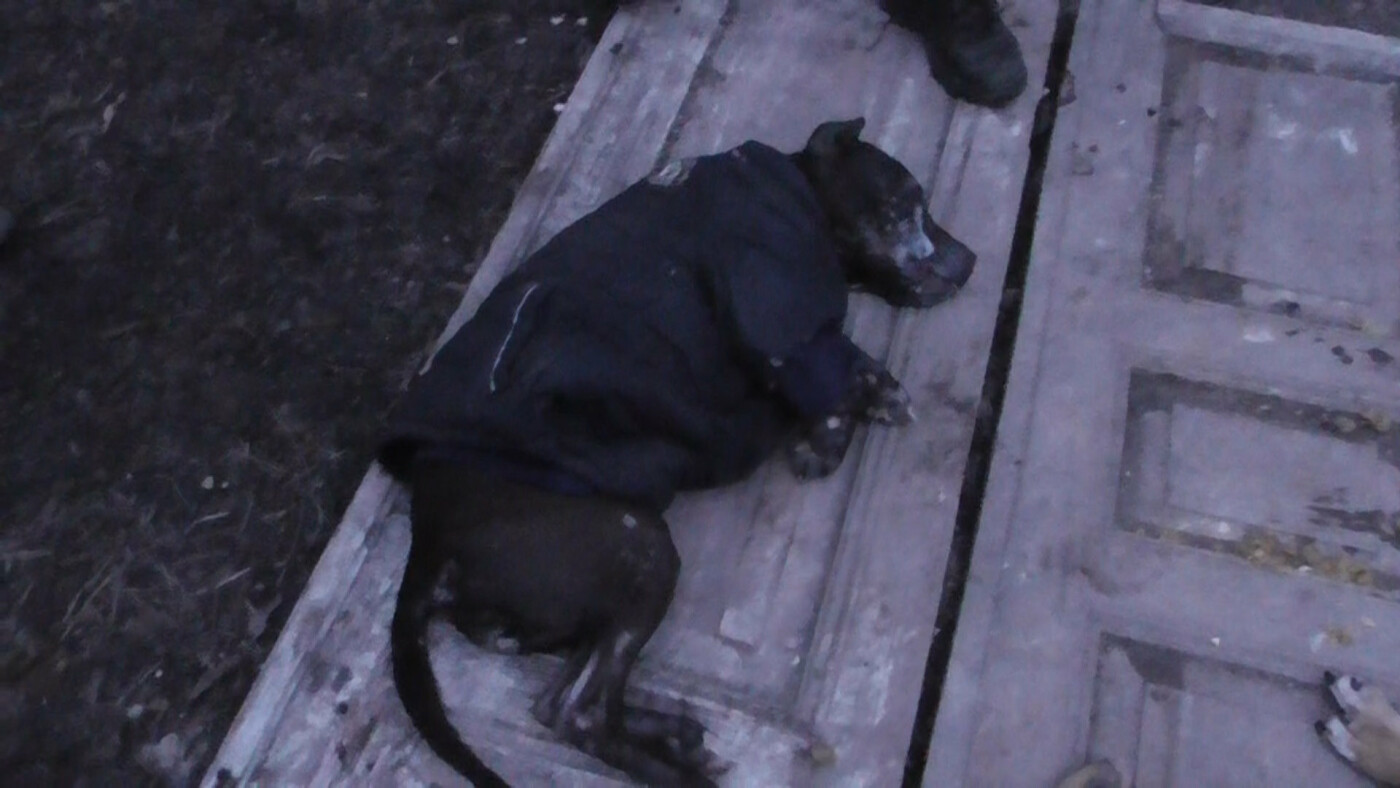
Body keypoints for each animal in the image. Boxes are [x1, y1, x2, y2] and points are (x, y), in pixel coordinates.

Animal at [377, 118, 977, 786]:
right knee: (582, 714)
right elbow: (824, 362)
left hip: (582, 609)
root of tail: (429, 549)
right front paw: (847, 416)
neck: (805, 191)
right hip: (639, 549)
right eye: (908, 200)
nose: (971, 260)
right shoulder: (767, 293)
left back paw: (677, 734)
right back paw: (678, 770)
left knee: (558, 701)